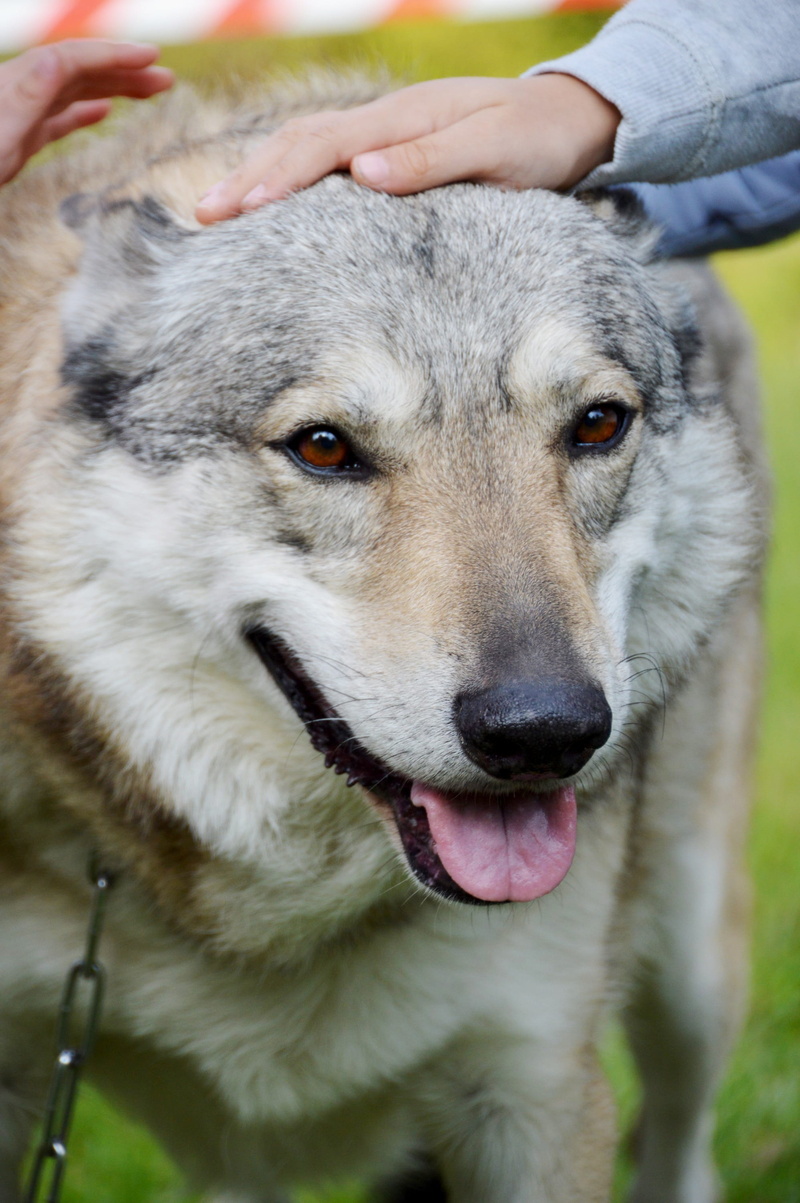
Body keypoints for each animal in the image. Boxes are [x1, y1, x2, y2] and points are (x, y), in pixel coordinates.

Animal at [0, 78, 767, 1203]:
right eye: (324, 447)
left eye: (595, 424)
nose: (543, 731)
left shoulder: (533, 1088)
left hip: (693, 977)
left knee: (679, 1140)